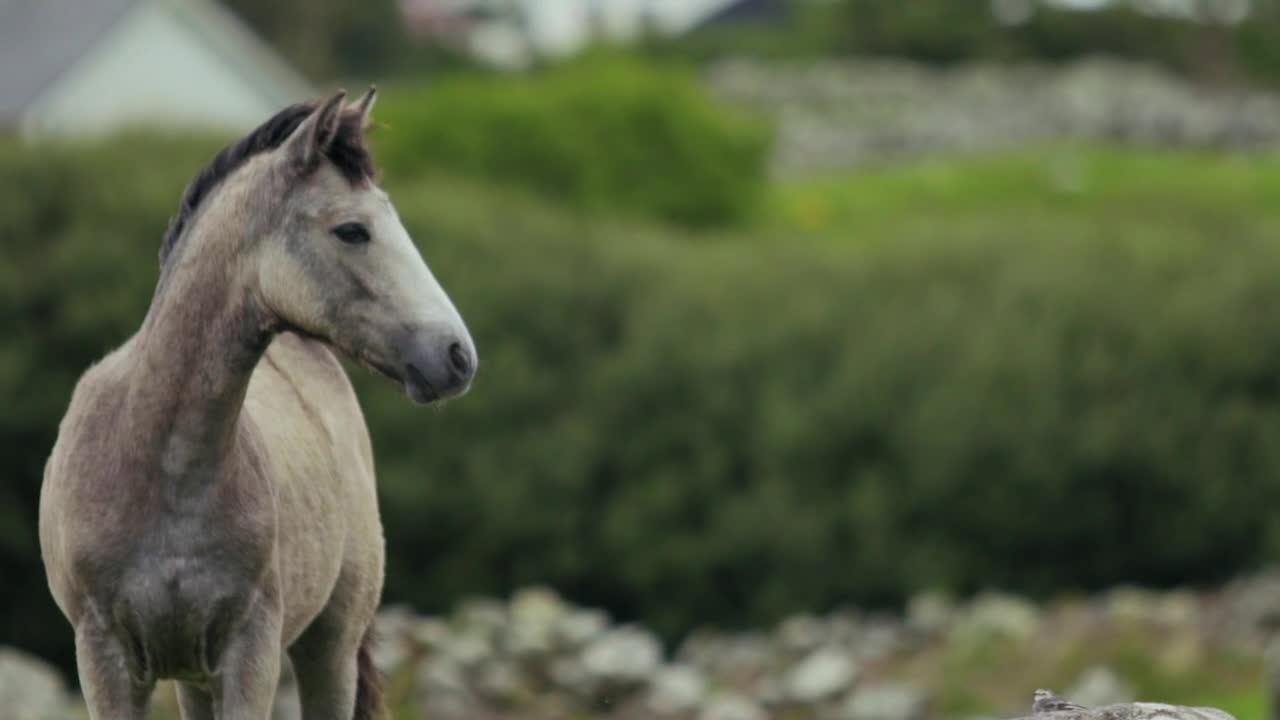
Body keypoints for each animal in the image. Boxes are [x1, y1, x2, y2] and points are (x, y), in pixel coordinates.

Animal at [38, 85, 476, 717]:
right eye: (352, 230)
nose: (457, 354)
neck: (159, 464)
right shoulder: (105, 660)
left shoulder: (250, 655)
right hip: (192, 678)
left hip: (330, 649)